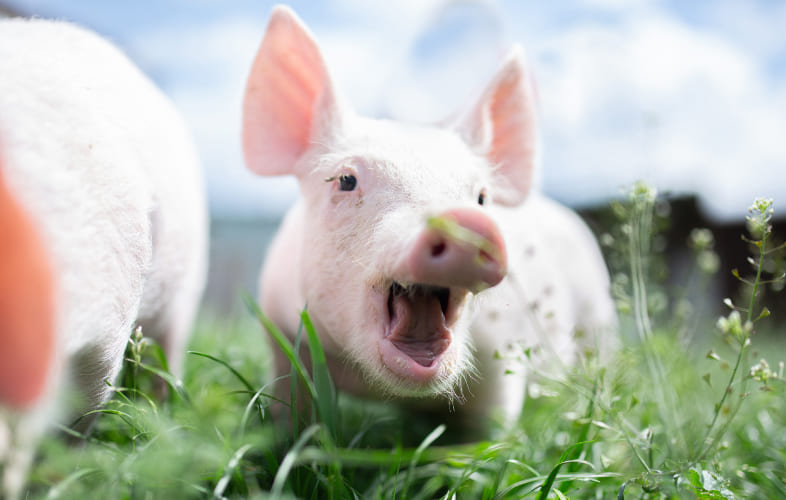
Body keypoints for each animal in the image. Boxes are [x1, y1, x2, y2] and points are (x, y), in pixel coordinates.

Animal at [243, 6, 615, 430]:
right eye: (346, 180)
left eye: (481, 197)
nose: (462, 220)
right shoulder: (282, 337)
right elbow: (294, 415)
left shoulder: (503, 359)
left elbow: (493, 428)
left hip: (598, 314)